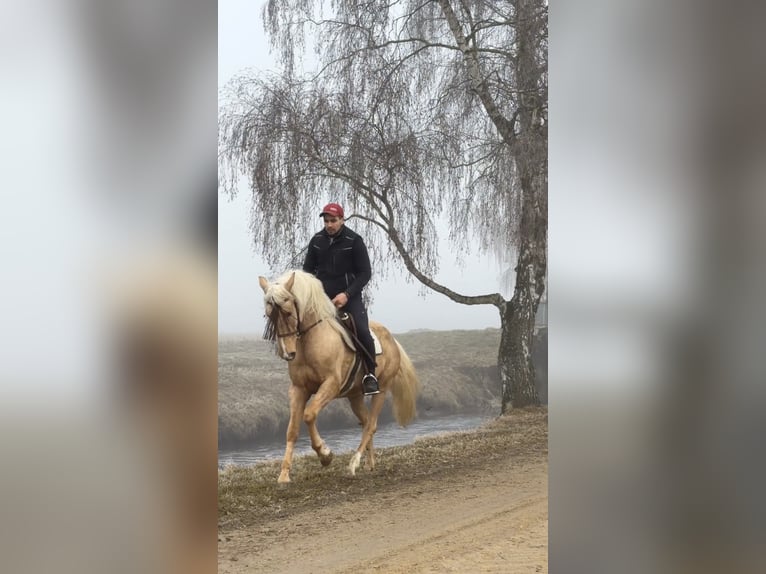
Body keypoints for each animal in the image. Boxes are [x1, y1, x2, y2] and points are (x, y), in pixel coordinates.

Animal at [258, 269, 420, 483]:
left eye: (288, 312)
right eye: (269, 314)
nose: (287, 353)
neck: (311, 340)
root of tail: (392, 339)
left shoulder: (331, 385)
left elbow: (309, 415)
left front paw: (325, 454)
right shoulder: (298, 389)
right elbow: (292, 429)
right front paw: (284, 475)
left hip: (382, 390)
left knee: (371, 424)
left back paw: (354, 463)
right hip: (355, 396)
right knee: (367, 423)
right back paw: (369, 463)